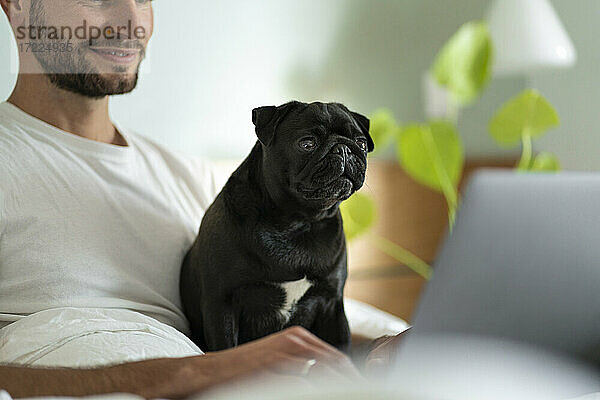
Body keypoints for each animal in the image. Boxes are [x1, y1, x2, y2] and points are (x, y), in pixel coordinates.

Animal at [180, 101, 372, 354]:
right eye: (307, 143)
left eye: (361, 143)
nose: (344, 149)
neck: (299, 222)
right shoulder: (221, 304)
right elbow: (226, 348)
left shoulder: (332, 305)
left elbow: (341, 347)